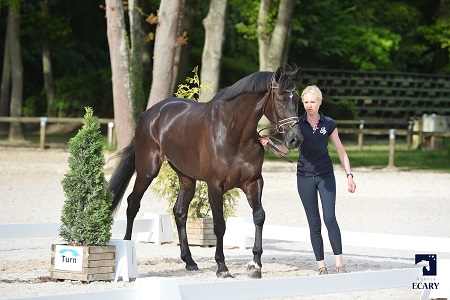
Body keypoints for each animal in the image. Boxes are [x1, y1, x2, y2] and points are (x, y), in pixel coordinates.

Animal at [109, 67, 304, 278]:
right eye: (280, 100)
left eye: (297, 99)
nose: (295, 139)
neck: (234, 133)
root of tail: (149, 114)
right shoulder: (215, 186)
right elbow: (219, 225)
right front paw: (222, 267)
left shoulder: (253, 182)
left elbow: (259, 217)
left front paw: (255, 265)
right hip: (147, 171)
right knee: (132, 204)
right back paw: (127, 247)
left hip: (186, 178)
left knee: (180, 212)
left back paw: (189, 261)